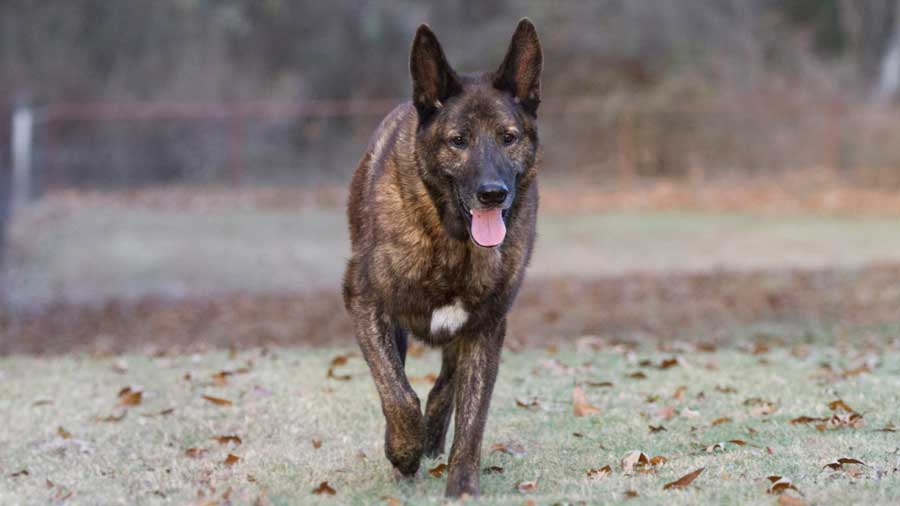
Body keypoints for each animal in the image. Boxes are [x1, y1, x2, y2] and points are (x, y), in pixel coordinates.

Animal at [342, 19, 540, 498]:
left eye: (508, 138)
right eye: (458, 141)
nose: (493, 193)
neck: (452, 240)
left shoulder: (486, 328)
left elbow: (471, 419)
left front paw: (462, 487)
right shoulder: (366, 303)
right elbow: (397, 394)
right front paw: (403, 449)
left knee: (444, 389)